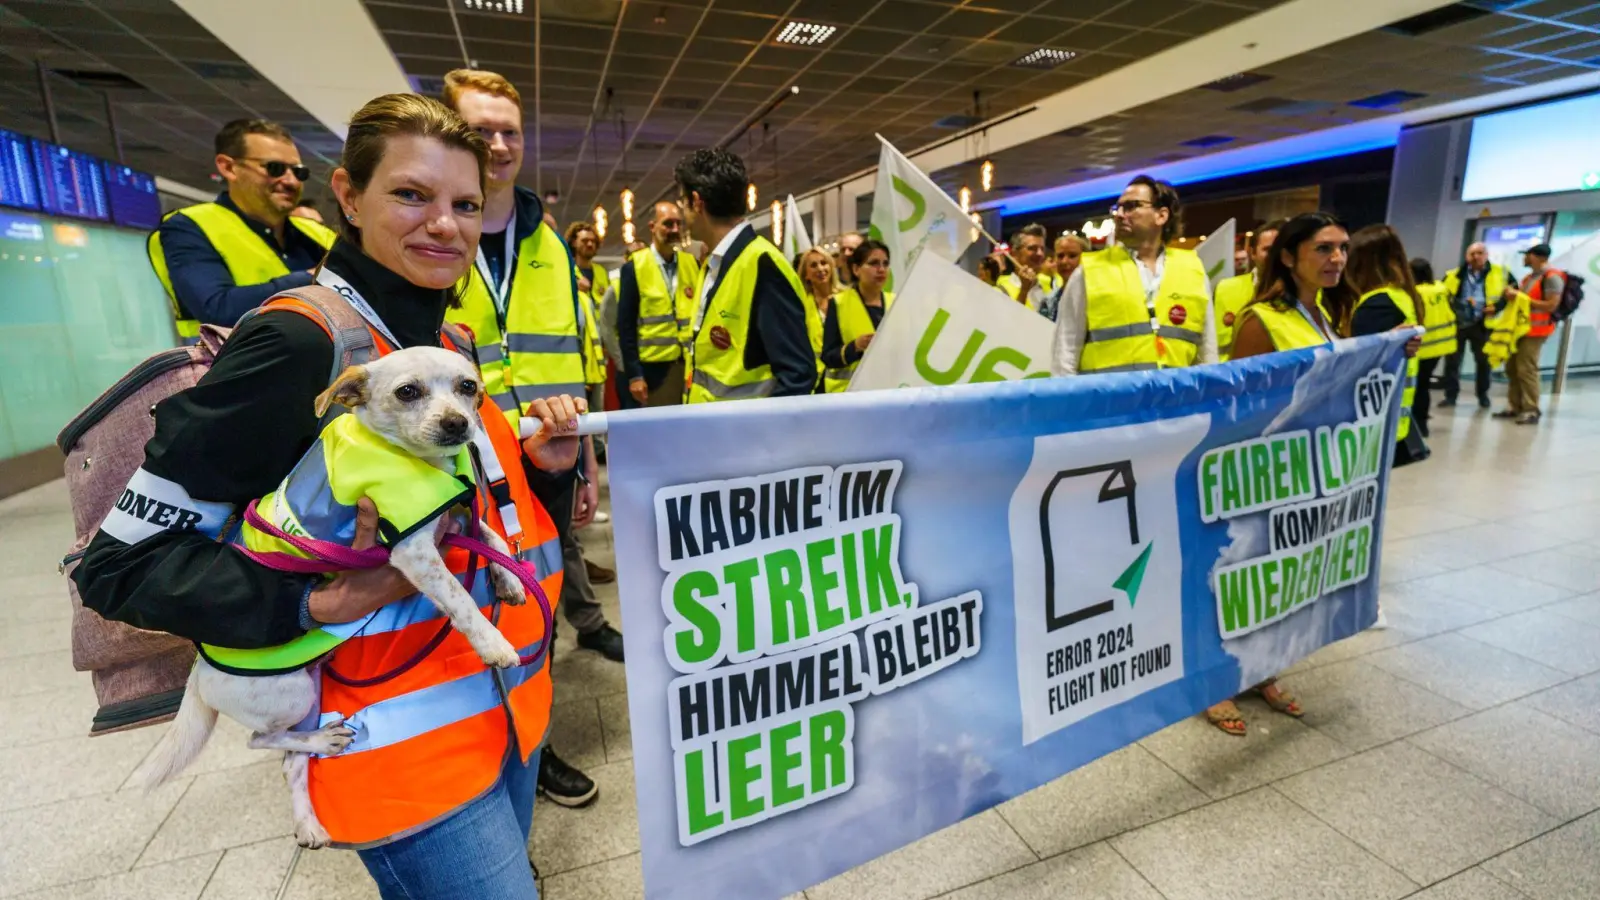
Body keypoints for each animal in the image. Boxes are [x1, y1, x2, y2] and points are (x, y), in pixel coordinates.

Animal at [130, 344, 528, 845]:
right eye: (407, 392)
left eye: (467, 386)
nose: (458, 423)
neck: (415, 459)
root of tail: (197, 674)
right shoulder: (414, 550)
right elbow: (462, 600)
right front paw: (494, 644)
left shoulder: (451, 521)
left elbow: (491, 535)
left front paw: (511, 580)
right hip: (291, 694)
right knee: (259, 739)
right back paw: (322, 741)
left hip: (309, 691)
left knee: (290, 762)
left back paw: (308, 823)